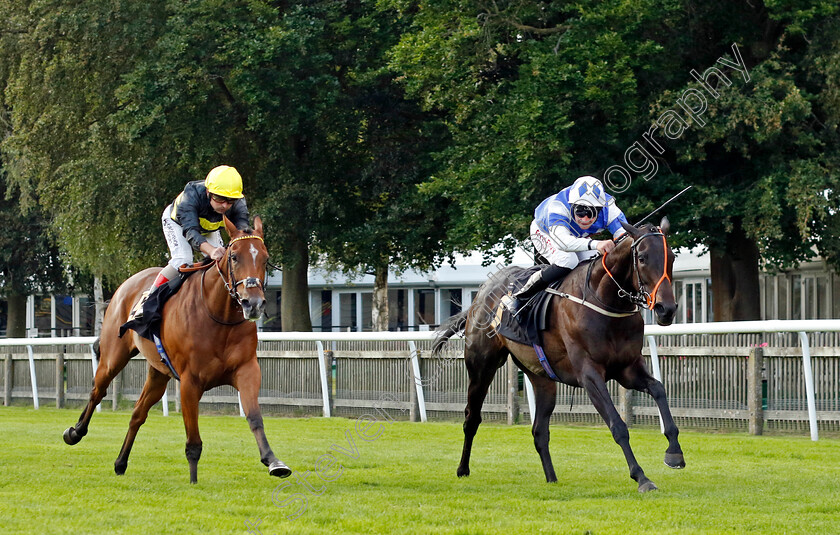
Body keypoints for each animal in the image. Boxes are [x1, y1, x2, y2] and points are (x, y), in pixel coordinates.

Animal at [62, 216, 292, 484]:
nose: (253, 303)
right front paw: (193, 480)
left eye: (265, 258)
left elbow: (255, 417)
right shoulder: (190, 381)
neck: (218, 315)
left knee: (138, 413)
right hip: (113, 357)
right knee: (97, 390)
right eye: (234, 256)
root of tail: (125, 284)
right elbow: (193, 438)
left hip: (158, 372)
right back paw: (75, 432)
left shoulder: (247, 370)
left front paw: (274, 461)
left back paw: (120, 463)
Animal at [436, 219, 684, 494]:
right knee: (472, 418)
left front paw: (674, 453)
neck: (606, 303)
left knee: (539, 431)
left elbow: (659, 389)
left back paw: (552, 478)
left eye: (672, 257)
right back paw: (462, 469)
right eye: (641, 258)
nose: (666, 309)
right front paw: (641, 477)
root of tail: (480, 294)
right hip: (482, 366)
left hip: (541, 377)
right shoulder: (589, 374)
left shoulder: (627, 369)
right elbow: (617, 425)